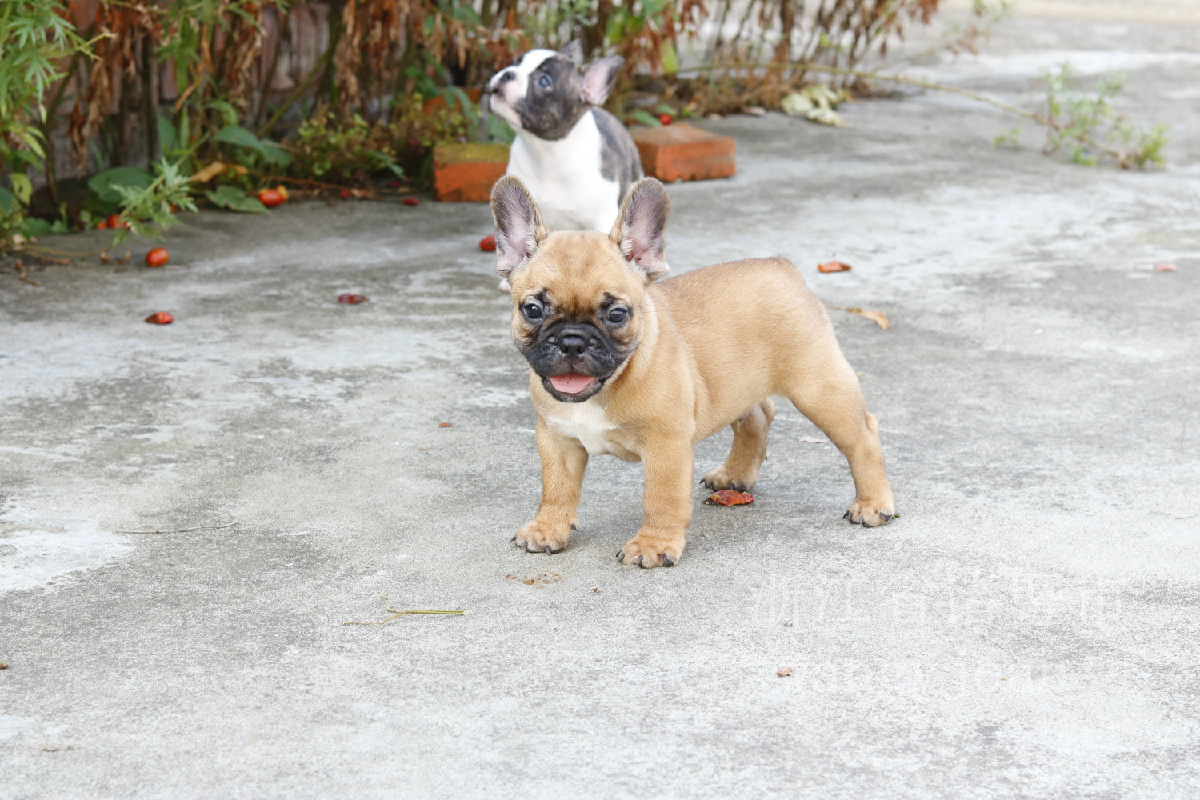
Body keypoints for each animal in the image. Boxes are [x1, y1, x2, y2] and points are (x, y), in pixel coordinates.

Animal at [492, 173, 897, 568]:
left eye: (617, 314)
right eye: (532, 309)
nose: (572, 341)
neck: (603, 390)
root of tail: (782, 266)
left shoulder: (667, 447)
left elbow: (661, 499)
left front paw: (653, 546)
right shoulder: (556, 438)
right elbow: (557, 488)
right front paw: (548, 529)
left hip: (818, 386)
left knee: (862, 435)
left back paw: (873, 504)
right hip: (740, 382)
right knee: (758, 416)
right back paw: (735, 475)